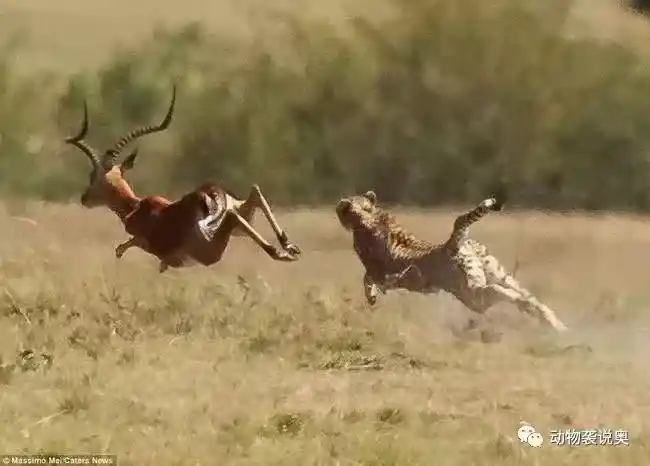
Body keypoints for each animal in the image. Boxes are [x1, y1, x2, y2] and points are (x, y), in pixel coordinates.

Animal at [336, 191, 564, 334]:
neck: (367, 215)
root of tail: (452, 242)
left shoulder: (377, 272)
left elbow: (367, 279)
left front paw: (372, 296)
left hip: (471, 294)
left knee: (501, 293)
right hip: (500, 275)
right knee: (529, 297)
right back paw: (556, 323)